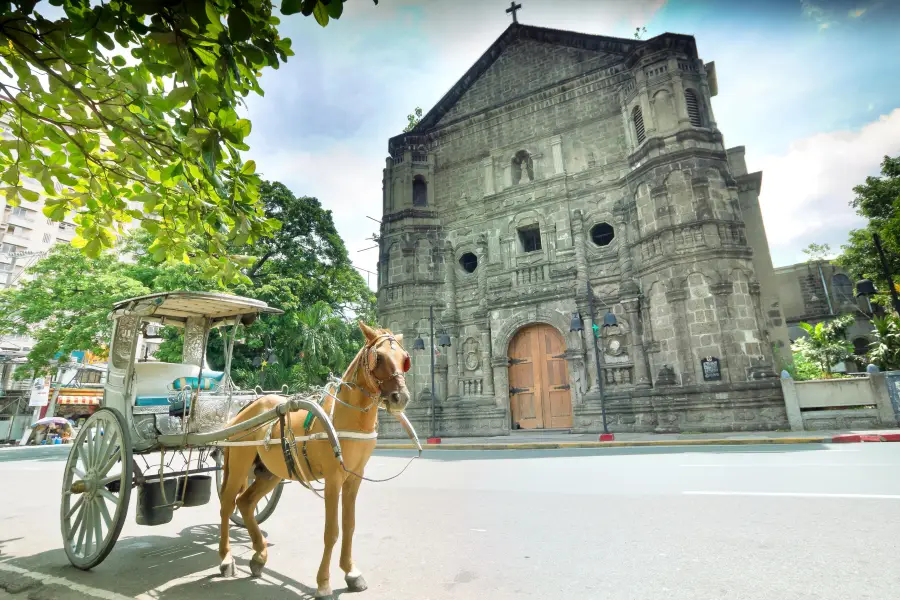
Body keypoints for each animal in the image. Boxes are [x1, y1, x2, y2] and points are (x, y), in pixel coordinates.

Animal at [216, 322, 414, 596]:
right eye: (380, 357)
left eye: (404, 359)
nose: (400, 398)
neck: (346, 416)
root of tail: (245, 409)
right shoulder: (333, 478)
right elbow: (332, 531)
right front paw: (323, 582)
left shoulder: (354, 478)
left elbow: (349, 525)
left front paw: (351, 572)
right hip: (238, 463)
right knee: (227, 504)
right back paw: (226, 559)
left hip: (270, 472)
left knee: (245, 502)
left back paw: (259, 556)